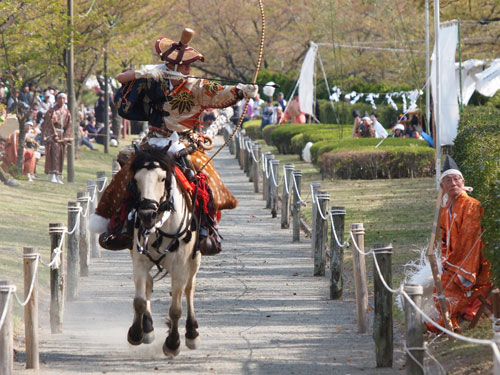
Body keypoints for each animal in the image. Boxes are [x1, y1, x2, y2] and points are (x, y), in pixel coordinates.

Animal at [128, 146, 202, 358]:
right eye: (136, 179)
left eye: (162, 179)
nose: (147, 215)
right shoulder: (139, 261)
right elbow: (139, 301)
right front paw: (136, 333)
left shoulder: (180, 266)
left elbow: (176, 309)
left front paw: (173, 343)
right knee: (149, 284)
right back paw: (148, 328)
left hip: (195, 259)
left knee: (189, 288)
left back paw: (192, 333)